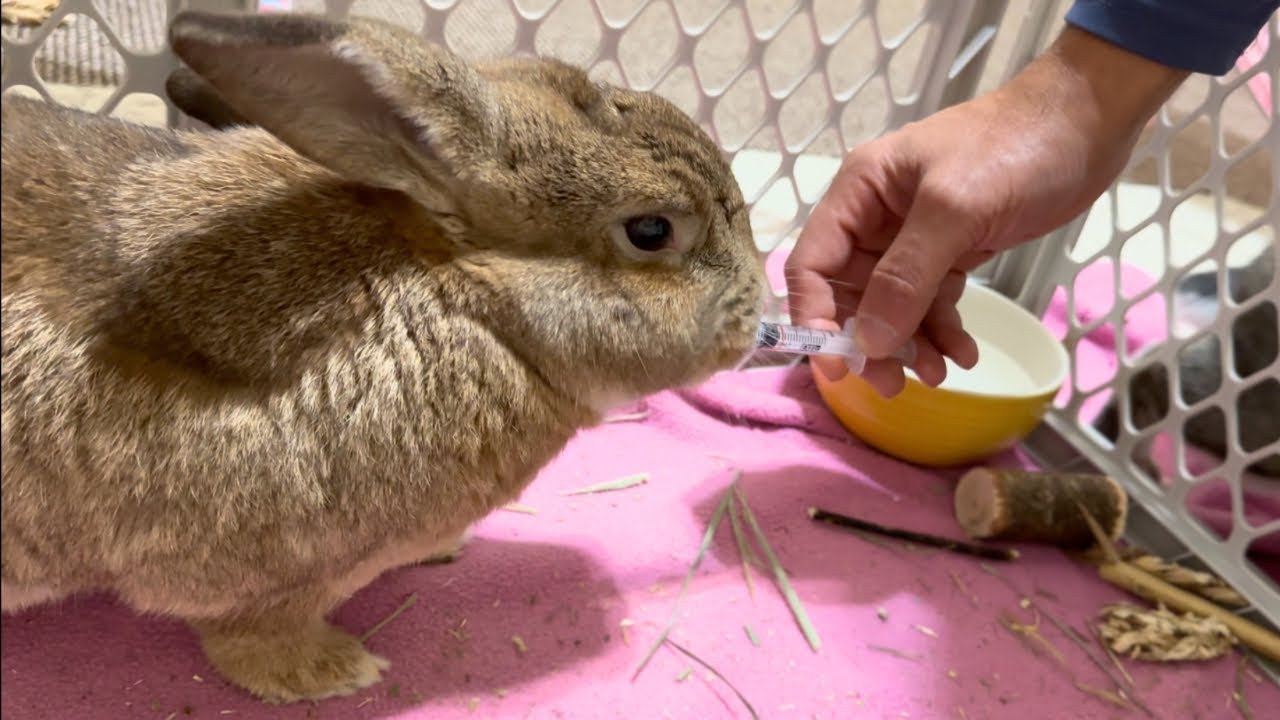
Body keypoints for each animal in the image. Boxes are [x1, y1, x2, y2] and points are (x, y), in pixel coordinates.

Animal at [0, 9, 765, 704]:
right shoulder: (270, 580)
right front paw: (337, 672)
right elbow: (252, 642)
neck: (469, 297)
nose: (757, 312)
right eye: (651, 230)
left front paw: (446, 549)